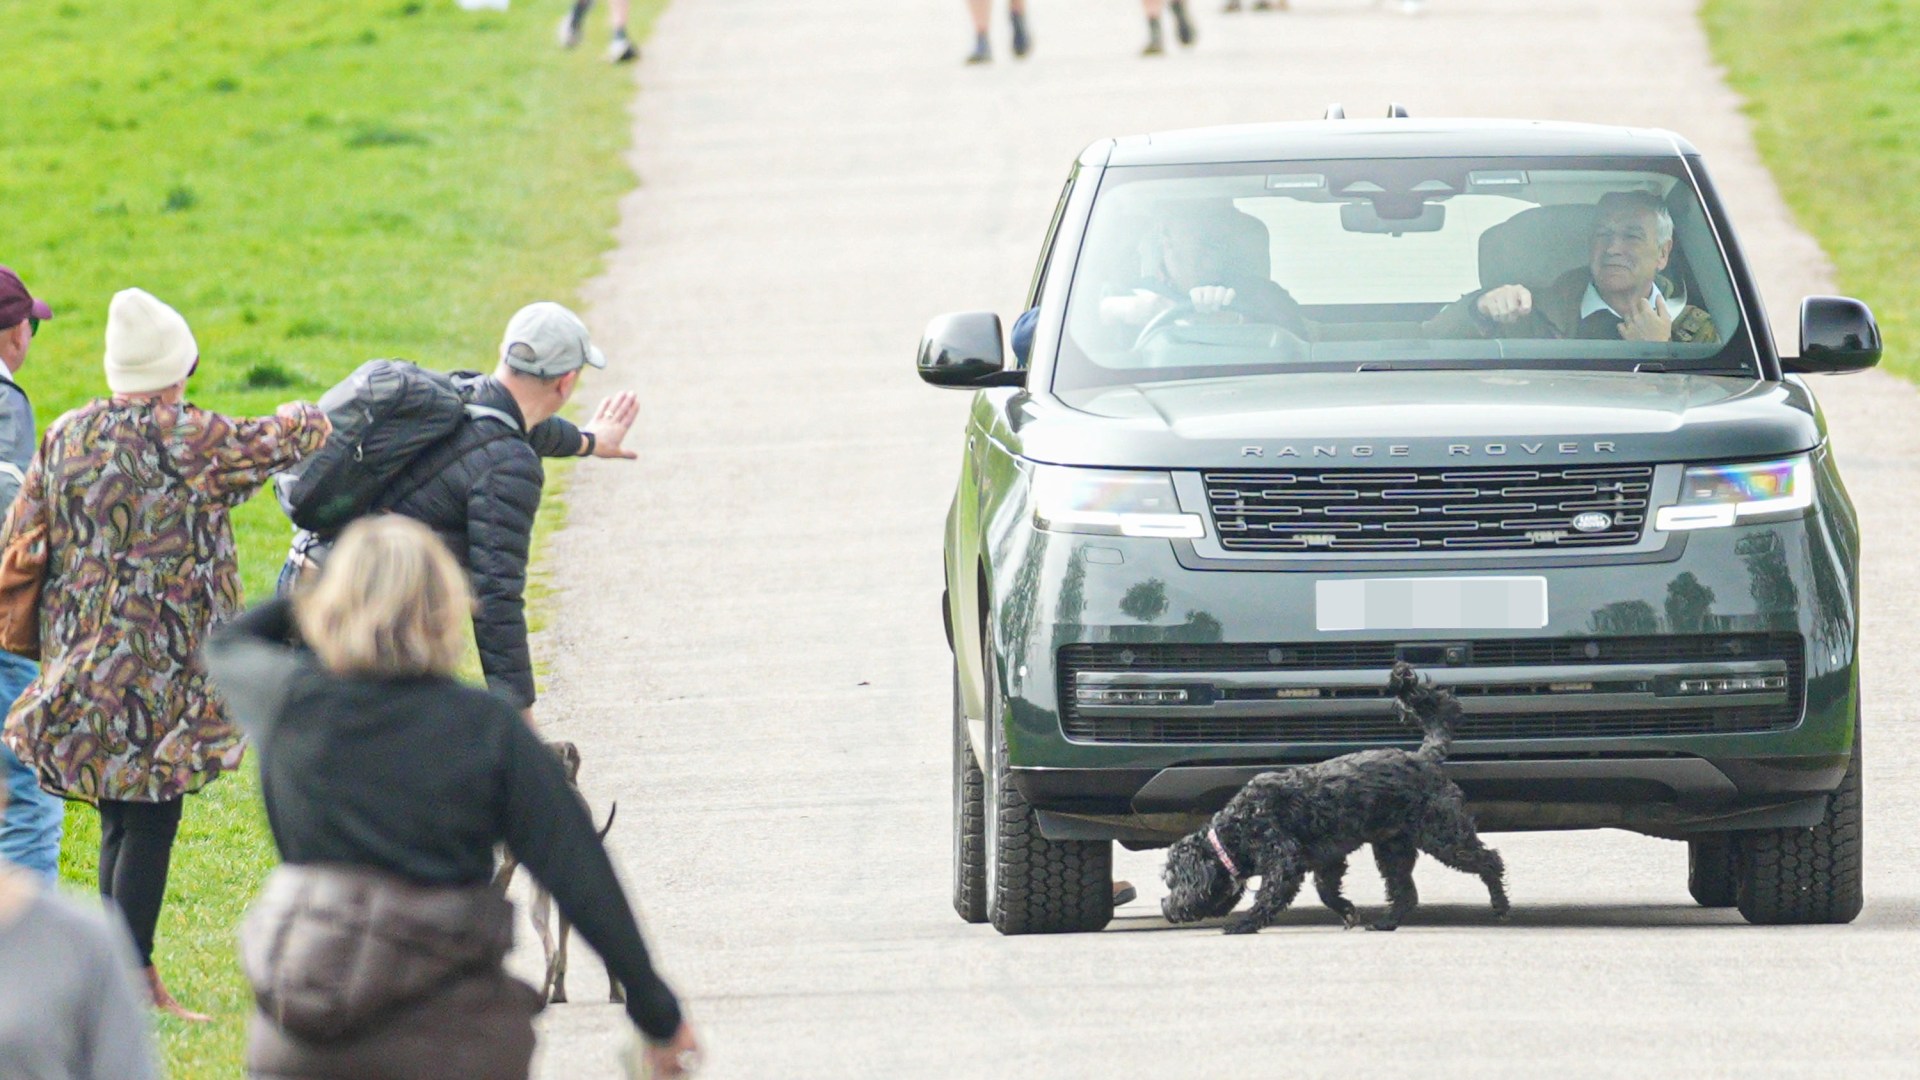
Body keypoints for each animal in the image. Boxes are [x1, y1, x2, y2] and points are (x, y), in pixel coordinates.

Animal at [1159, 661, 1505, 930]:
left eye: (1173, 880)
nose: (1167, 907)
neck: (1236, 829)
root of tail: (1425, 758)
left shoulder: (1283, 858)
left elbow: (1269, 895)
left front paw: (1244, 924)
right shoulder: (1327, 860)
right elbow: (1326, 891)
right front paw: (1348, 912)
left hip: (1444, 835)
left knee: (1490, 861)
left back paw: (1500, 906)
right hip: (1392, 848)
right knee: (1405, 892)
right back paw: (1386, 922)